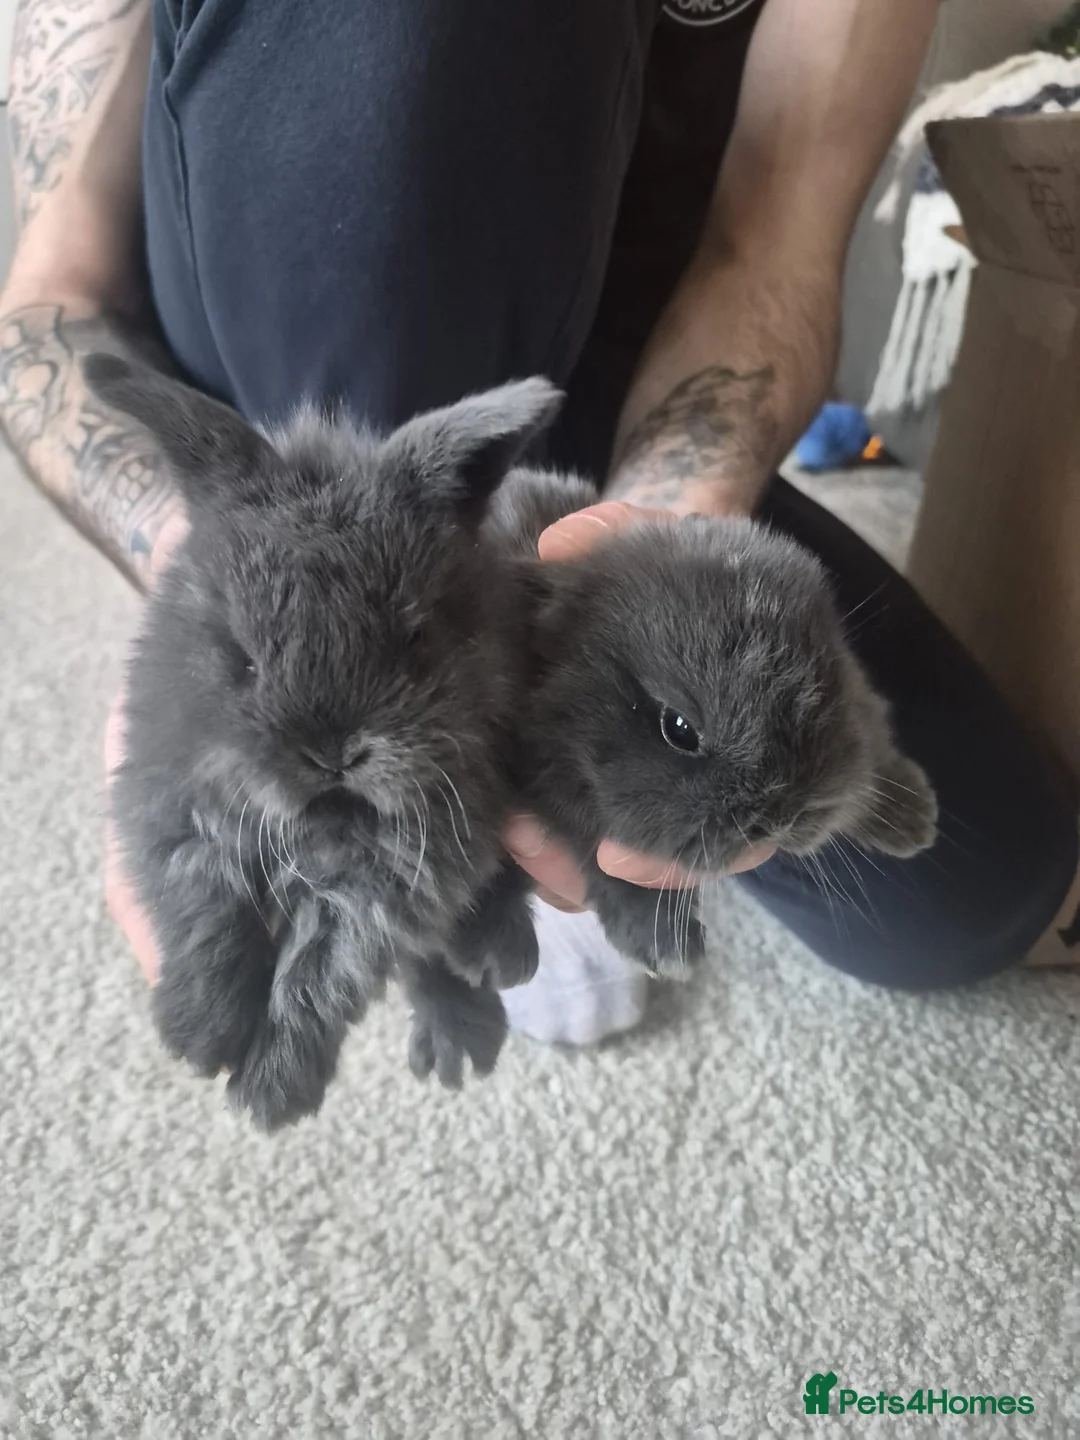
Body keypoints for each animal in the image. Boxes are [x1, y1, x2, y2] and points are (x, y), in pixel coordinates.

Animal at [85, 354, 562, 1129]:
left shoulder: (384, 888)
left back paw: (486, 984)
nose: (333, 753)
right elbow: (206, 913)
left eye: (414, 638)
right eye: (243, 657)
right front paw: (197, 1033)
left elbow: (315, 976)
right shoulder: (174, 814)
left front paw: (271, 1092)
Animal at [484, 468, 939, 978]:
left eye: (825, 684)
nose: (779, 820)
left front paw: (914, 817)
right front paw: (669, 947)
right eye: (679, 728)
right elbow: (603, 866)